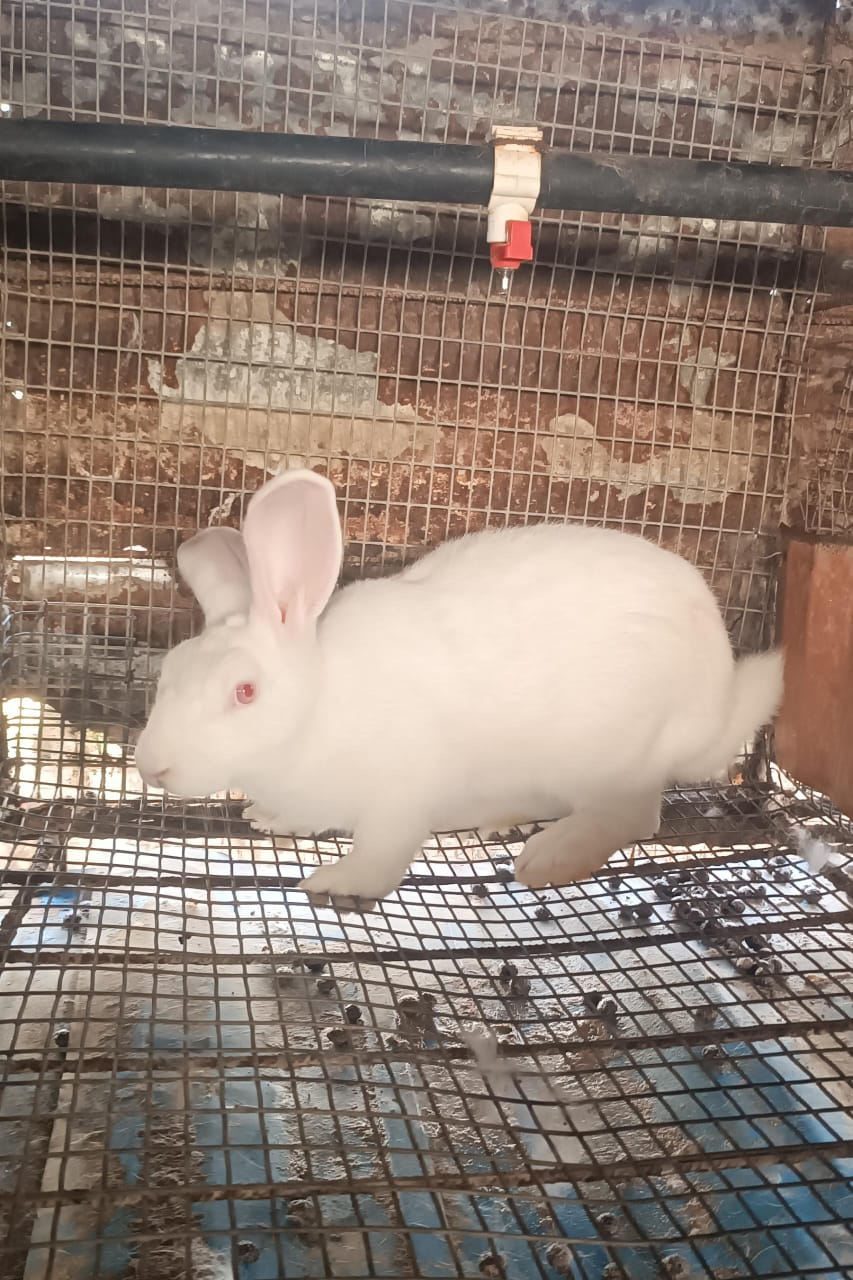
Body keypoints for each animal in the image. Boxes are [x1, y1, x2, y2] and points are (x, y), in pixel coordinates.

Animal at [135, 469, 784, 908]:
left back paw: (548, 857)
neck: (316, 706)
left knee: (635, 816)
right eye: (171, 672)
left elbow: (380, 854)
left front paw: (336, 882)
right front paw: (270, 817)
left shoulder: (400, 796)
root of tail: (713, 703)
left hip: (613, 754)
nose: (151, 768)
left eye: (245, 692)